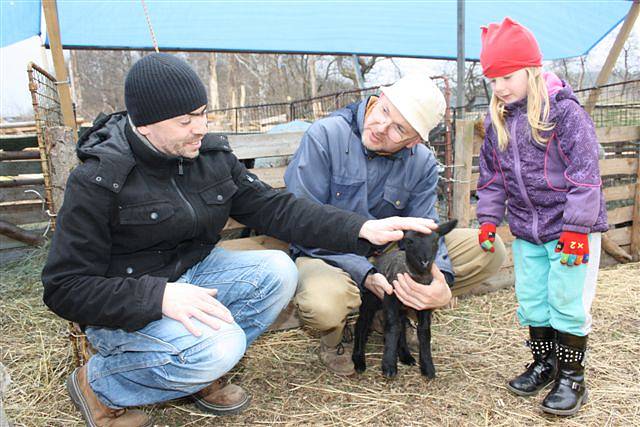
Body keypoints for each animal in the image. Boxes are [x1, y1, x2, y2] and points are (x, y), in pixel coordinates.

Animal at [352, 219, 458, 380]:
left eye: (435, 241)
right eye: (409, 241)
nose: (425, 261)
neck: (417, 276)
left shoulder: (425, 304)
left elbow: (424, 331)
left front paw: (428, 367)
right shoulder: (390, 297)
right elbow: (392, 327)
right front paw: (389, 366)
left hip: (401, 308)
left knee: (401, 324)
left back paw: (405, 356)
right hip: (370, 299)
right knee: (362, 324)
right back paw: (358, 360)